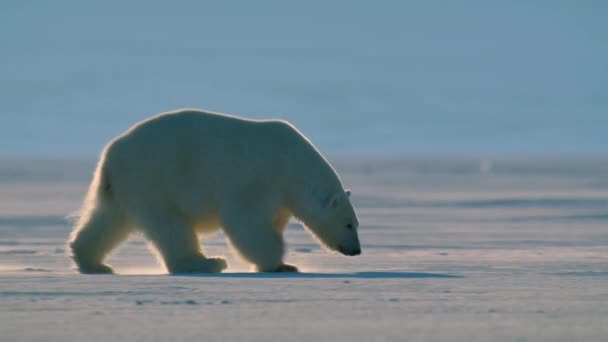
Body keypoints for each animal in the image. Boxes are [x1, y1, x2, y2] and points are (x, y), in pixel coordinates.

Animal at [68, 108, 358, 274]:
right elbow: (246, 222)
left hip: (124, 188)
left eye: (355, 224)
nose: (356, 251)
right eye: (348, 225)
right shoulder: (259, 180)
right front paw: (280, 264)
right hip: (153, 180)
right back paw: (207, 262)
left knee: (108, 220)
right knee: (170, 226)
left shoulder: (281, 198)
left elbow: (273, 222)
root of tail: (110, 155)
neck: (292, 162)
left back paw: (92, 262)